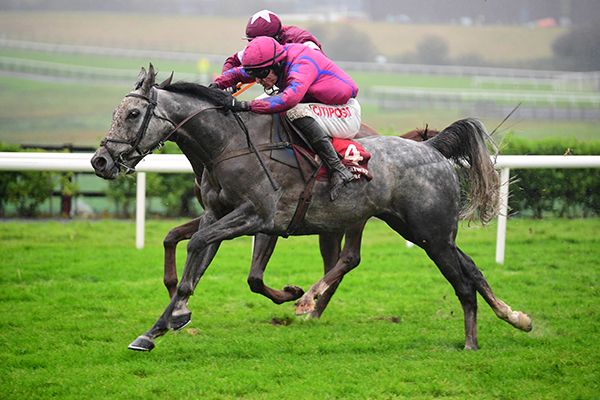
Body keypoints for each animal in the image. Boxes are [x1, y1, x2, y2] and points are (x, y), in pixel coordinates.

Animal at [91, 66, 532, 354]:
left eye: (133, 113)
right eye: (116, 112)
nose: (100, 161)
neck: (226, 144)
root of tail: (432, 147)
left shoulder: (259, 217)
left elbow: (203, 249)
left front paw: (180, 313)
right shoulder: (221, 216)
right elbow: (188, 259)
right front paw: (157, 327)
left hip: (426, 234)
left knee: (453, 281)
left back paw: (470, 342)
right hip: (420, 230)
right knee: (472, 269)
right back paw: (515, 317)